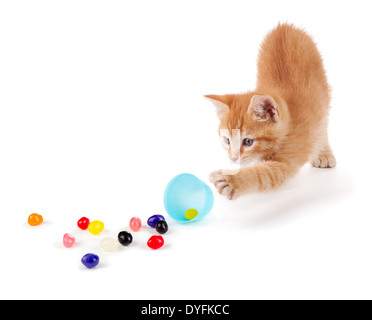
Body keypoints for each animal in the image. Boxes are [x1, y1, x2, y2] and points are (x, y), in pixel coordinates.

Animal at [205, 22, 336, 199]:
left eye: (248, 141)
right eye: (226, 140)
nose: (232, 159)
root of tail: (285, 26)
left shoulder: (288, 159)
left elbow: (264, 175)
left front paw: (232, 180)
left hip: (323, 91)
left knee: (323, 122)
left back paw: (323, 152)